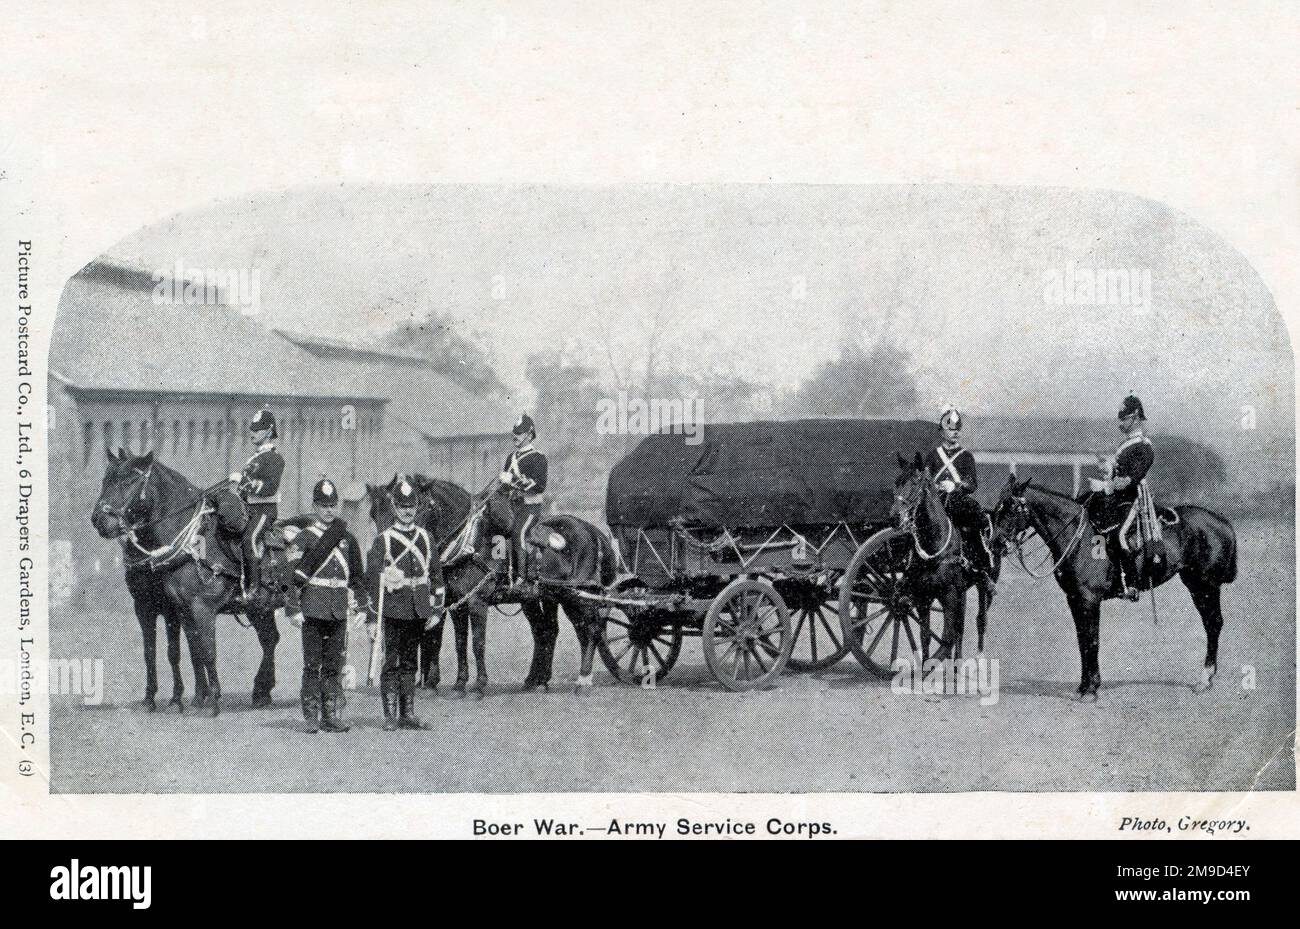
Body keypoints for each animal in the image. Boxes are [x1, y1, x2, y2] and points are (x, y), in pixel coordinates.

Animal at [92, 446, 284, 717]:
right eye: (105, 480)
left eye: (129, 481)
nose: (99, 520)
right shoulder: (160, 608)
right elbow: (172, 652)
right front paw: (168, 699)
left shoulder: (198, 609)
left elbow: (205, 651)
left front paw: (208, 701)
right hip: (259, 608)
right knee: (269, 639)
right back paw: (261, 692)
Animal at [366, 472, 488, 696]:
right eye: (373, 514)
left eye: (420, 507)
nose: (384, 558)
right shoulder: (456, 603)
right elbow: (454, 641)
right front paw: (454, 683)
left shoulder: (476, 601)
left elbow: (477, 642)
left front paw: (479, 684)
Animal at [894, 449, 993, 662]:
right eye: (897, 482)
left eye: (915, 483)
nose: (894, 517)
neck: (935, 549)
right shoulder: (923, 597)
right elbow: (925, 637)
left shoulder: (950, 596)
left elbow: (948, 638)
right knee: (959, 629)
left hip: (977, 587)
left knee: (978, 621)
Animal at [987, 475, 1232, 701]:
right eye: (997, 508)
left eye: (1011, 508)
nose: (995, 544)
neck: (1079, 539)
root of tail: (1221, 520)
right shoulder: (1074, 599)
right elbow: (1082, 640)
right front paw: (1083, 687)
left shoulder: (1089, 600)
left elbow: (1092, 639)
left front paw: (1092, 689)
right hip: (1194, 585)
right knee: (1211, 623)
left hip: (1206, 586)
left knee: (1213, 624)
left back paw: (1204, 679)